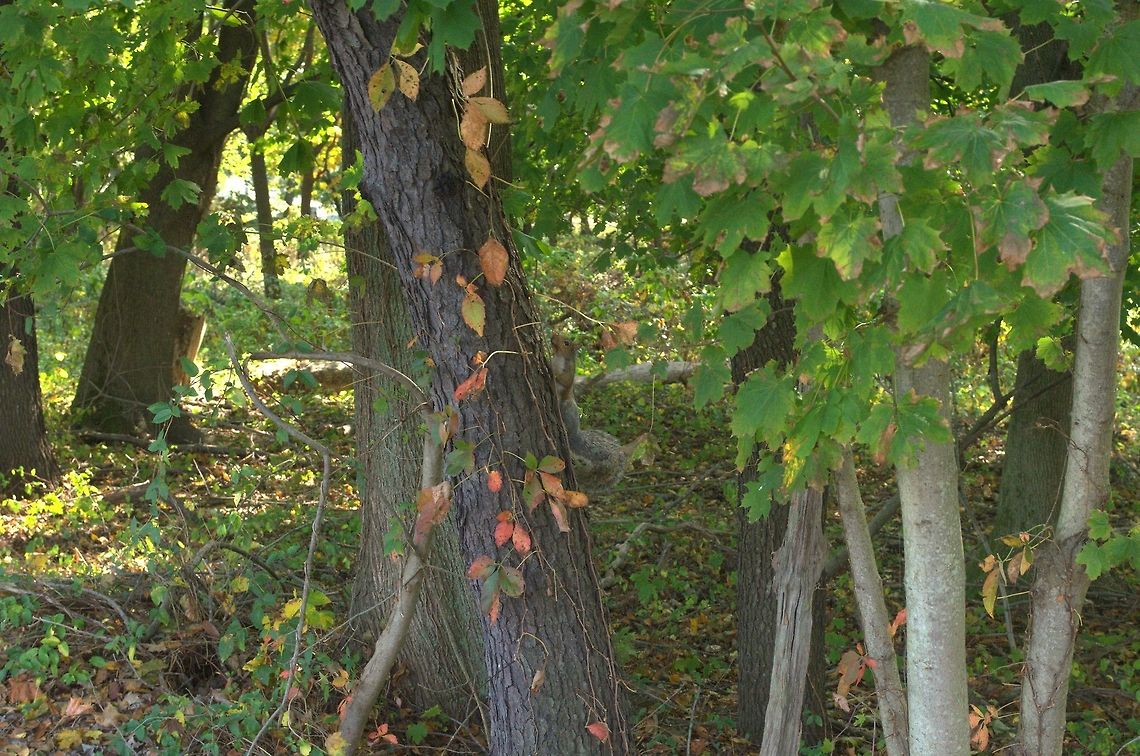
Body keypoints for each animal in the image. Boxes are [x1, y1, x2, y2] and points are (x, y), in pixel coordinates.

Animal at [551, 334, 628, 494]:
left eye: (566, 343)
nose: (553, 336)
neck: (559, 357)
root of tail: (574, 435)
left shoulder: (567, 373)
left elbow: (563, 380)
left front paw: (551, 373)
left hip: (566, 408)